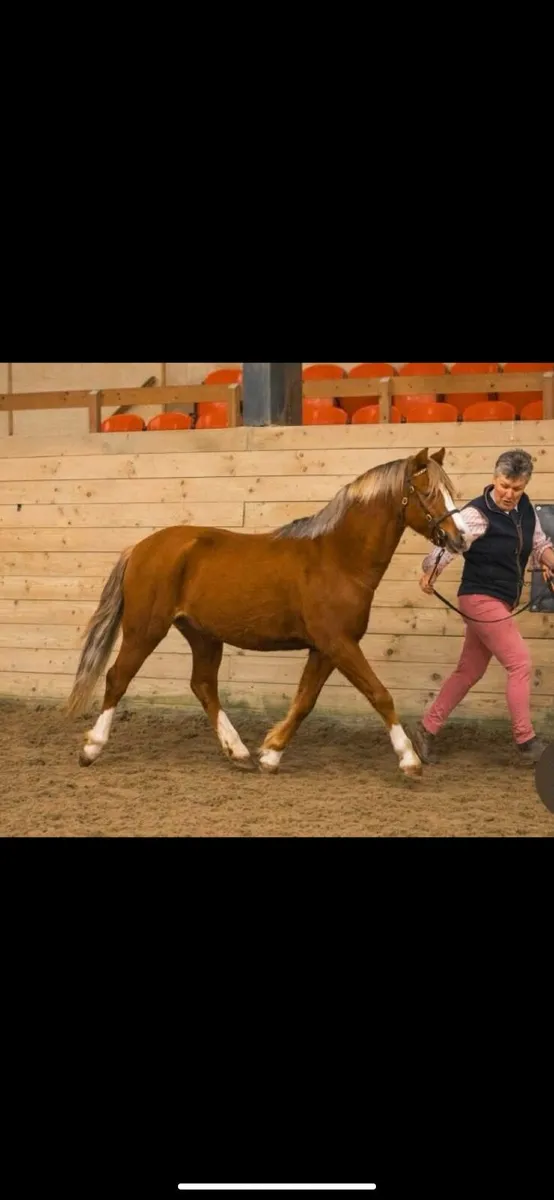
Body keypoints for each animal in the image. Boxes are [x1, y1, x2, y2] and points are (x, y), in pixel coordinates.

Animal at [67, 446, 469, 777]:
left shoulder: (325, 648)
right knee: (118, 677)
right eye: (429, 492)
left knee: (203, 686)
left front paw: (271, 754)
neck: (339, 558)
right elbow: (379, 694)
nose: (460, 538)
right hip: (145, 629)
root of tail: (139, 548)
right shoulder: (339, 643)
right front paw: (409, 759)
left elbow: (305, 701)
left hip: (203, 635)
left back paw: (239, 753)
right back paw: (92, 748)